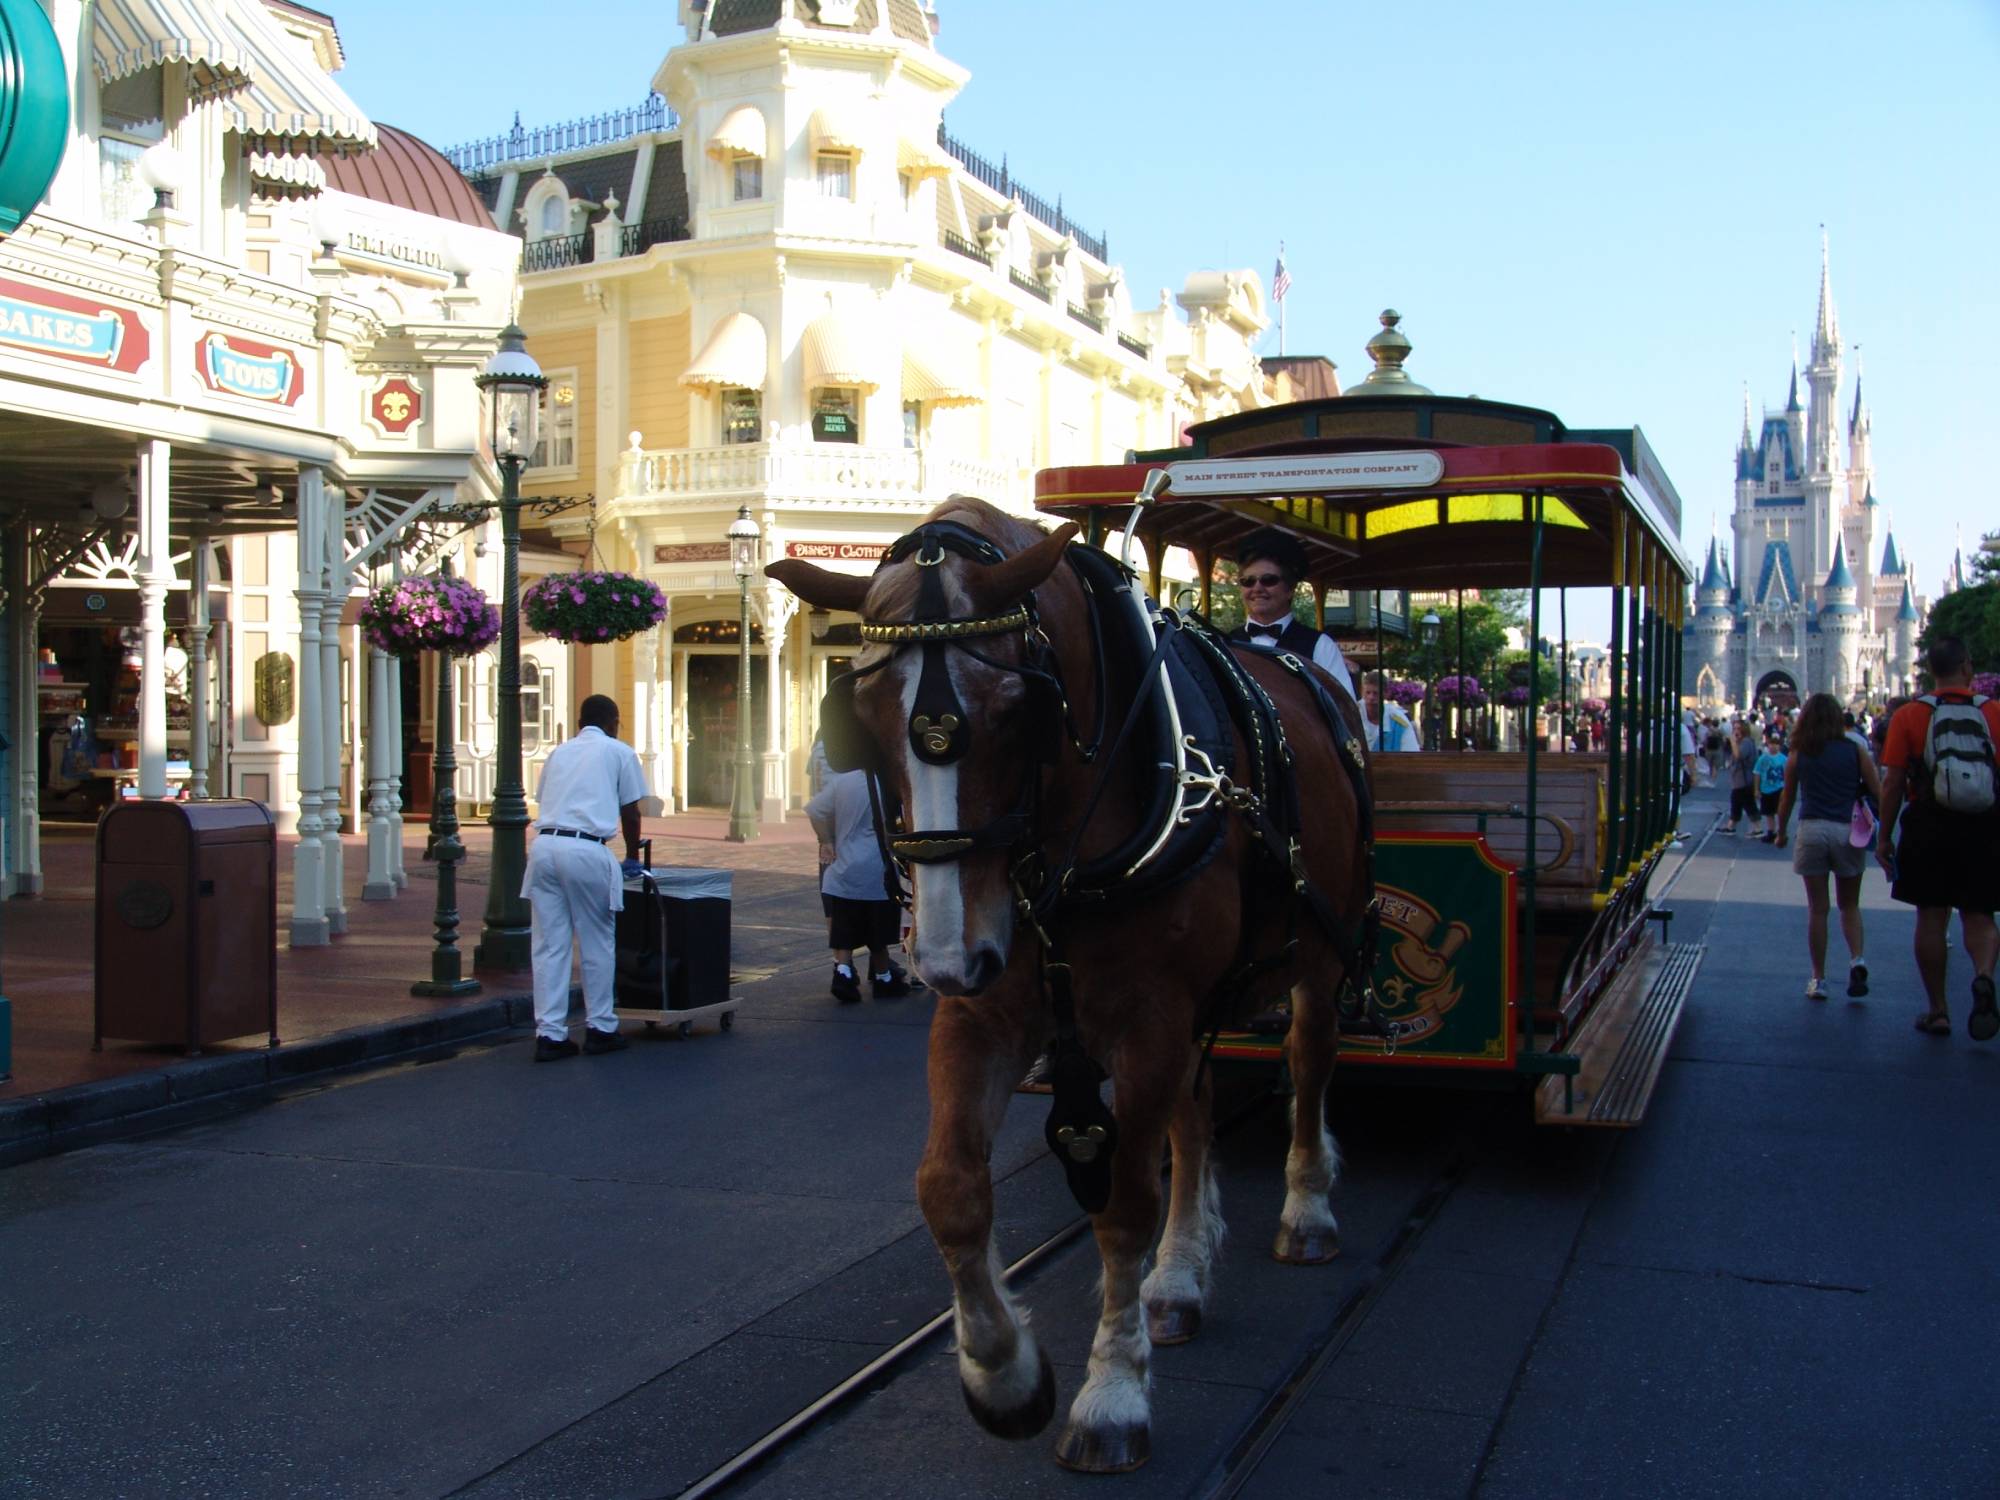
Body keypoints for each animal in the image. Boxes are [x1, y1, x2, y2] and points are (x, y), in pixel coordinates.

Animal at [768, 500, 1376, 1472]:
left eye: (1020, 712)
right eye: (858, 715)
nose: (943, 954)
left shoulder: (1151, 1016)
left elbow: (1124, 1204)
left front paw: (1112, 1394)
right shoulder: (985, 1011)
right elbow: (948, 1189)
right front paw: (1004, 1376)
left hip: (1320, 951)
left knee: (1309, 1065)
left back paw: (1306, 1210)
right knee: (1194, 1118)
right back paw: (1179, 1277)